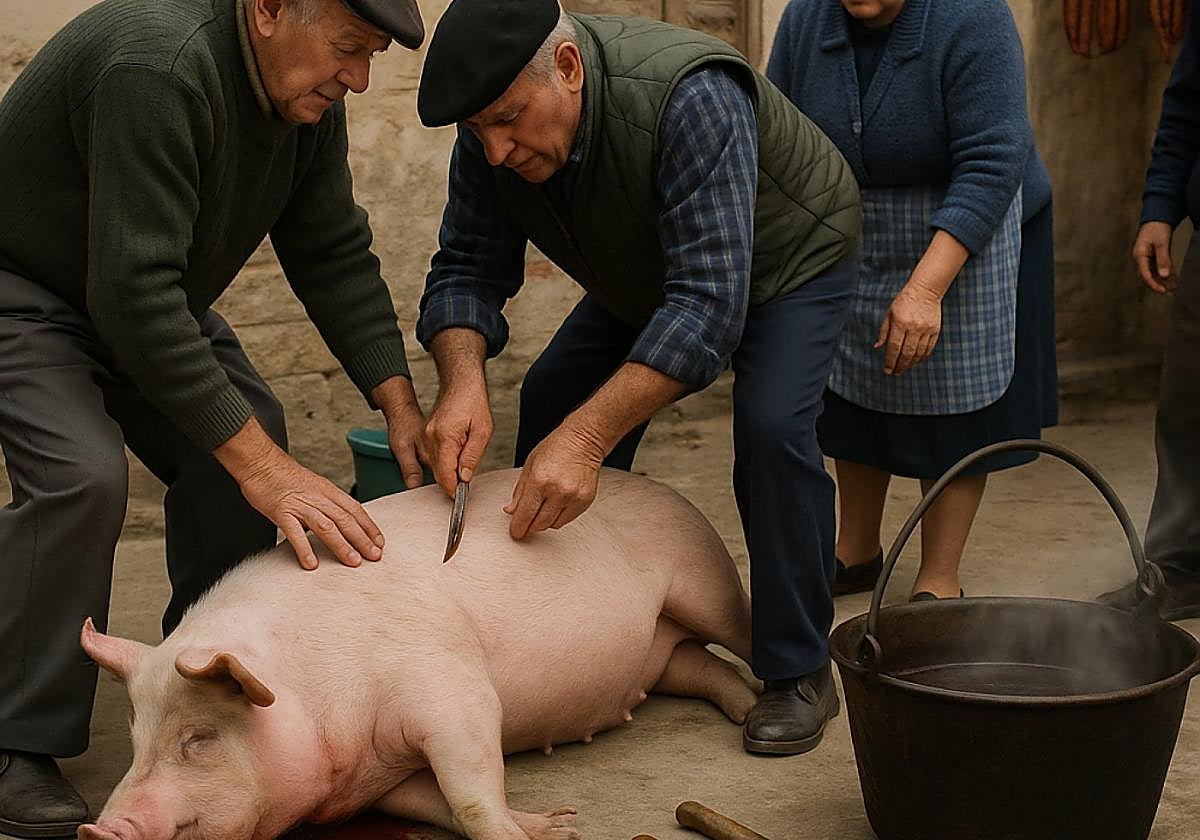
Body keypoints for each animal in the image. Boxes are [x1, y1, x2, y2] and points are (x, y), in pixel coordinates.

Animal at [77, 467, 757, 840]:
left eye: (199, 739)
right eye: (136, 741)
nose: (99, 828)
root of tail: (658, 486)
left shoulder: (450, 687)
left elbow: (470, 790)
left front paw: (556, 828)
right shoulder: (383, 778)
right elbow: (439, 803)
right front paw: (553, 824)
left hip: (704, 575)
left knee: (741, 628)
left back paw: (769, 712)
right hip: (659, 652)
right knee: (697, 664)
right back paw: (747, 709)